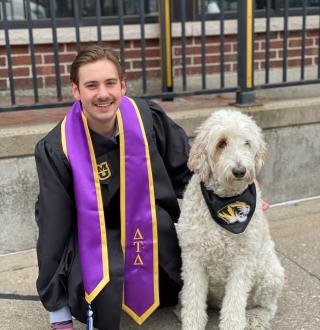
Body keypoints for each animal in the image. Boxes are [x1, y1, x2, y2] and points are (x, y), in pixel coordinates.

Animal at [178, 109, 284, 328]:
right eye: (221, 143)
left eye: (247, 143)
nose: (240, 171)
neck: (225, 201)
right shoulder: (193, 258)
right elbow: (193, 298)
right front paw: (192, 323)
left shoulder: (242, 261)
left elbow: (235, 302)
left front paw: (233, 324)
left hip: (270, 273)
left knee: (269, 306)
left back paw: (256, 317)